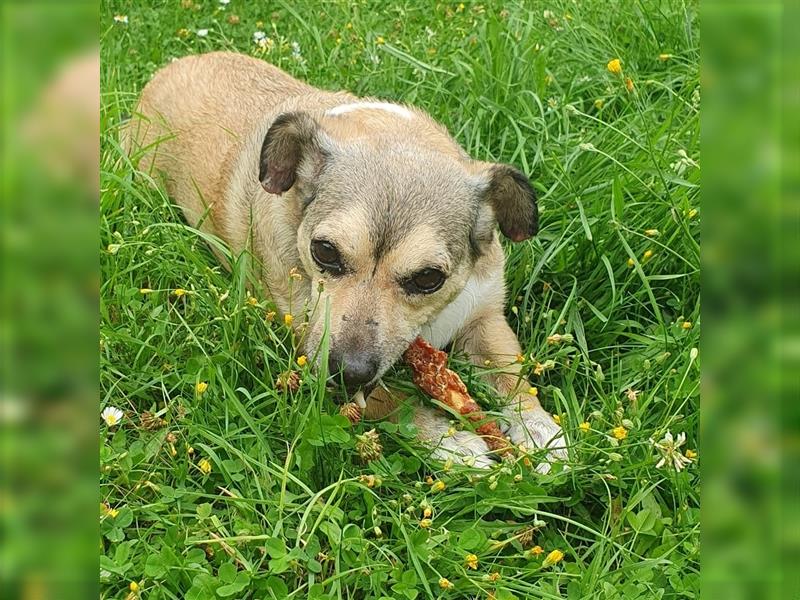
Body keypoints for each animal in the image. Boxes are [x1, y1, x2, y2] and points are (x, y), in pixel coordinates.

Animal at [126, 52, 564, 468]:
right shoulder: (312, 344)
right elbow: (392, 402)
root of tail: (169, 69)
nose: (347, 371)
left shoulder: (484, 317)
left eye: (428, 278)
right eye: (324, 252)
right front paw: (449, 441)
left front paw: (540, 430)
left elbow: (514, 377)